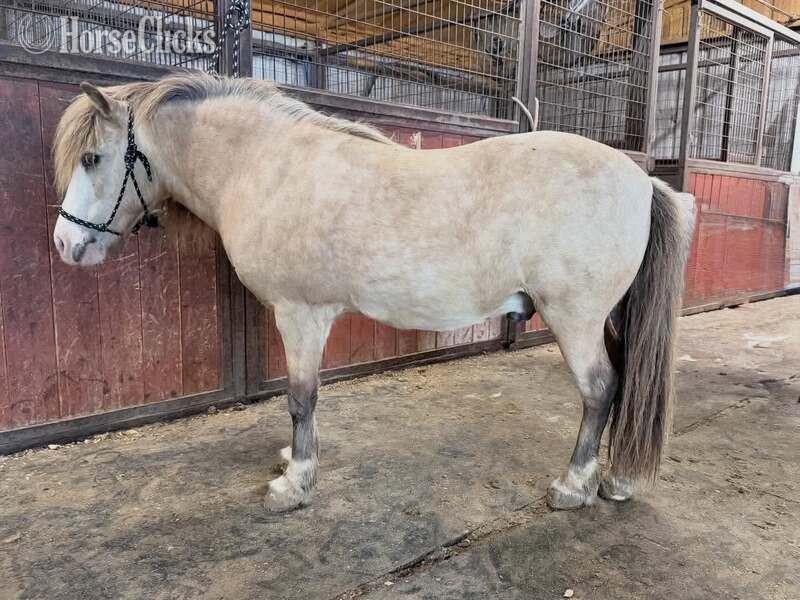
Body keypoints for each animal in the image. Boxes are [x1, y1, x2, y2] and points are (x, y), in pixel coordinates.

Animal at [51, 72, 694, 513]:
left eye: (93, 157)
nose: (64, 244)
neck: (266, 167)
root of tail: (641, 179)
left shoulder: (301, 315)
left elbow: (300, 398)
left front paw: (295, 482)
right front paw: (295, 460)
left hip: (575, 318)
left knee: (600, 389)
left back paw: (573, 485)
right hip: (610, 316)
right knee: (624, 382)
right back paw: (615, 478)